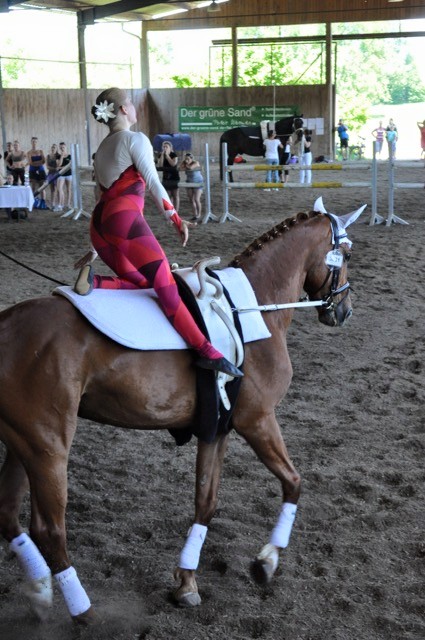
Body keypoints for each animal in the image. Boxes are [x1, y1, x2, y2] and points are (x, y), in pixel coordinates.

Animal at [0, 204, 362, 620]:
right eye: (345, 255)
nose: (344, 310)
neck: (252, 305)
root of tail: (6, 324)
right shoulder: (257, 420)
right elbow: (294, 483)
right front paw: (266, 561)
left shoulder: (217, 428)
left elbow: (206, 503)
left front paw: (187, 582)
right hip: (48, 448)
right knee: (49, 530)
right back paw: (84, 613)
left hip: (23, 442)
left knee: (8, 515)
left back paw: (40, 593)